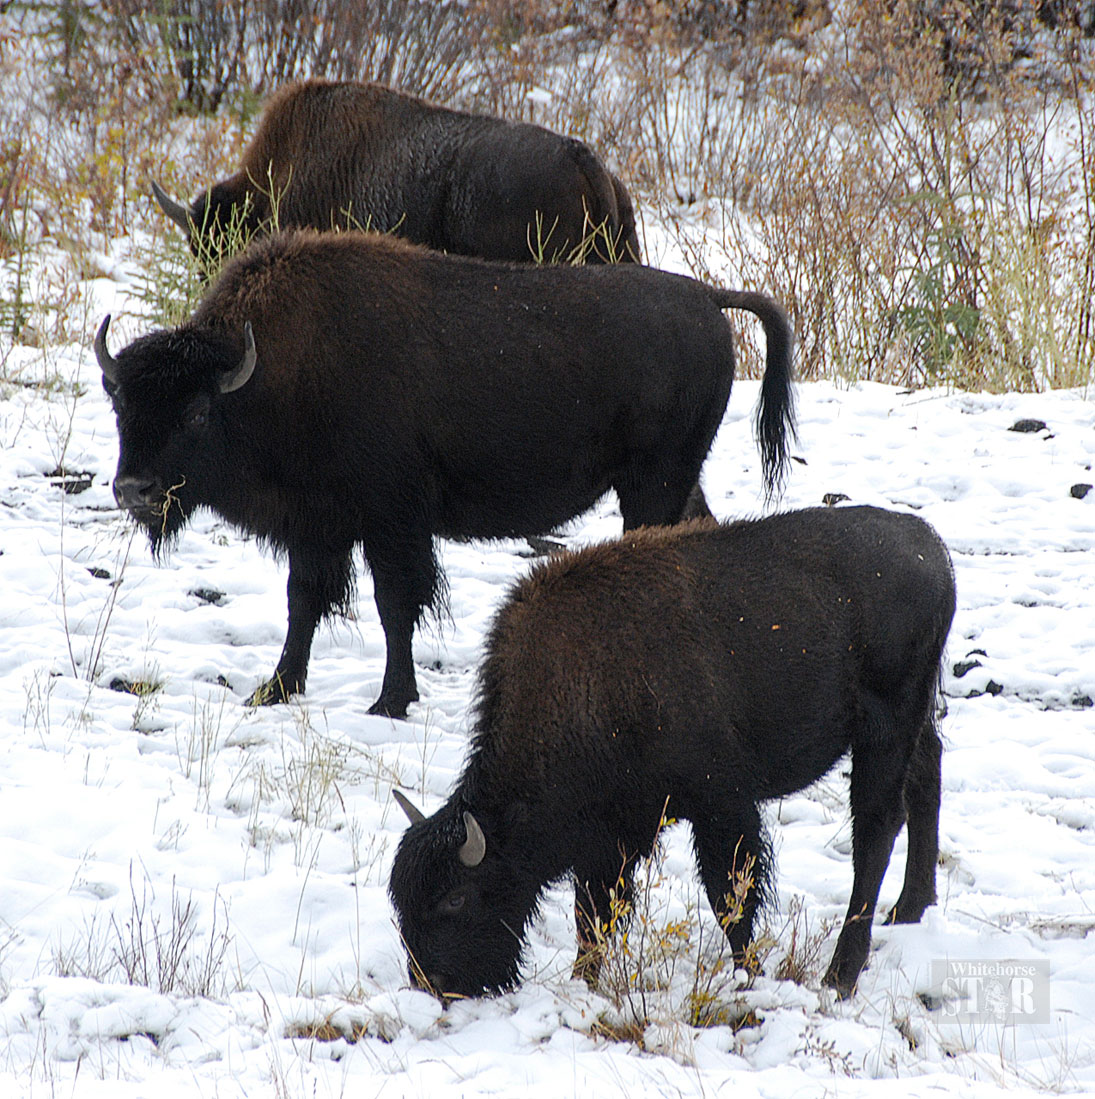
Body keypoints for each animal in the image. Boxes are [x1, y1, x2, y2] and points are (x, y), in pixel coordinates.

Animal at [93, 227, 795, 716]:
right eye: (120, 402)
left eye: (196, 412)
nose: (134, 490)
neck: (267, 375)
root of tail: (706, 297)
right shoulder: (317, 527)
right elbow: (304, 601)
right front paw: (274, 689)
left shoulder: (390, 523)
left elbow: (395, 603)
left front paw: (389, 701)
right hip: (672, 480)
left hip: (654, 482)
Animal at [389, 507, 954, 1006]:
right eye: (403, 902)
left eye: (455, 897)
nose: (432, 984)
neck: (580, 685)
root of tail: (932, 547)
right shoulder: (608, 838)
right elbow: (594, 914)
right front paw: (583, 981)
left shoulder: (719, 806)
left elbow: (730, 896)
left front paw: (749, 975)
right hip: (913, 720)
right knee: (926, 776)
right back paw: (911, 908)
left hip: (886, 727)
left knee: (876, 829)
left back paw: (841, 975)